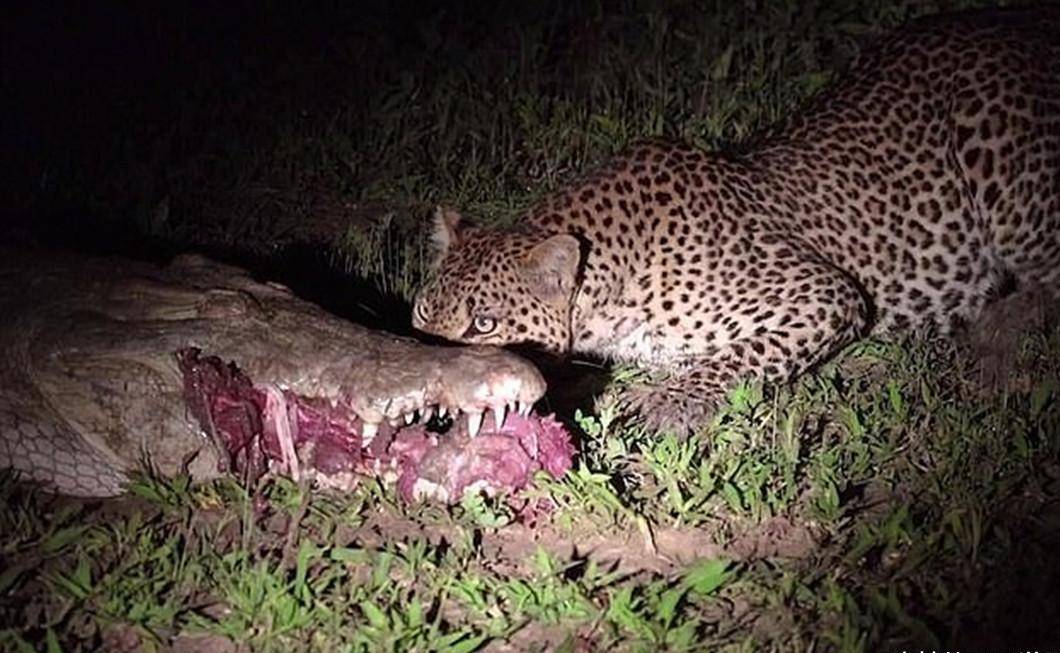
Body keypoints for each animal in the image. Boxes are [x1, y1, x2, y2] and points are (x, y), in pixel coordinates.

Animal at [407, 7, 1060, 436]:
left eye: (485, 324)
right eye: (420, 314)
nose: (430, 377)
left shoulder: (825, 294)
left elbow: (738, 357)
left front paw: (668, 404)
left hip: (1002, 170)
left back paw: (997, 333)